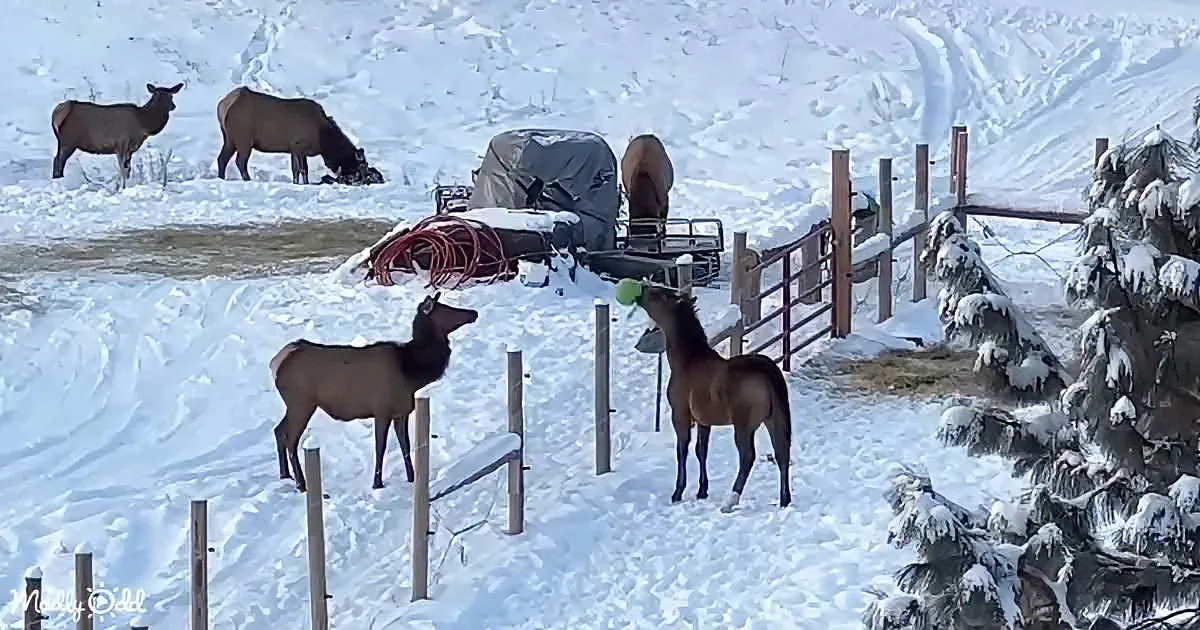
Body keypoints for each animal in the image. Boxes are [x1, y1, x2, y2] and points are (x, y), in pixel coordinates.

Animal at [51, 82, 184, 189]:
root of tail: (57, 112)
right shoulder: (122, 143)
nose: (173, 106)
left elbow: (128, 168)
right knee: (58, 161)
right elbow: (123, 169)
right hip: (69, 140)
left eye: (170, 95)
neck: (143, 123)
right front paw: (122, 187)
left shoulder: (129, 150)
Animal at [268, 292, 479, 492]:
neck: (412, 373)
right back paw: (301, 484)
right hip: (301, 403)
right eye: (445, 309)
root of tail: (276, 363)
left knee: (278, 430)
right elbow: (381, 447)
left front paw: (411, 477)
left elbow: (405, 445)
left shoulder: (401, 412)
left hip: (295, 405)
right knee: (291, 439)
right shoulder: (382, 410)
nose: (473, 313)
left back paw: (285, 475)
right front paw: (377, 483)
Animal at [630, 281, 792, 512]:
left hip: (744, 425)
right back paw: (784, 499)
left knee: (747, 457)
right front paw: (702, 491)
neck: (688, 360)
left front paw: (678, 492)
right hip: (774, 419)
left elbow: (682, 450)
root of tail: (767, 373)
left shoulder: (681, 416)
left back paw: (730, 501)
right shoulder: (704, 421)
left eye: (657, 294)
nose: (641, 289)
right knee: (782, 453)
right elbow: (701, 451)